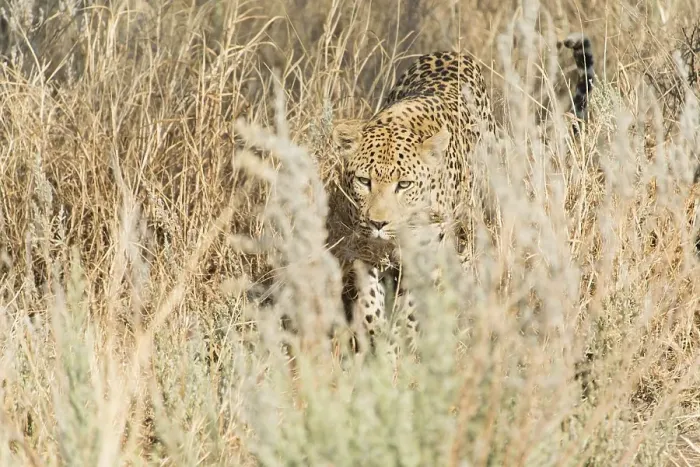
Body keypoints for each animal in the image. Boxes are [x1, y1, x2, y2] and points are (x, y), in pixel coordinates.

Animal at [330, 32, 597, 362]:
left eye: (404, 185)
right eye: (364, 181)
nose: (378, 223)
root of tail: (452, 52)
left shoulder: (428, 256)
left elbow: (409, 313)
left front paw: (397, 352)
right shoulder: (367, 253)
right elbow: (369, 305)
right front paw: (376, 345)